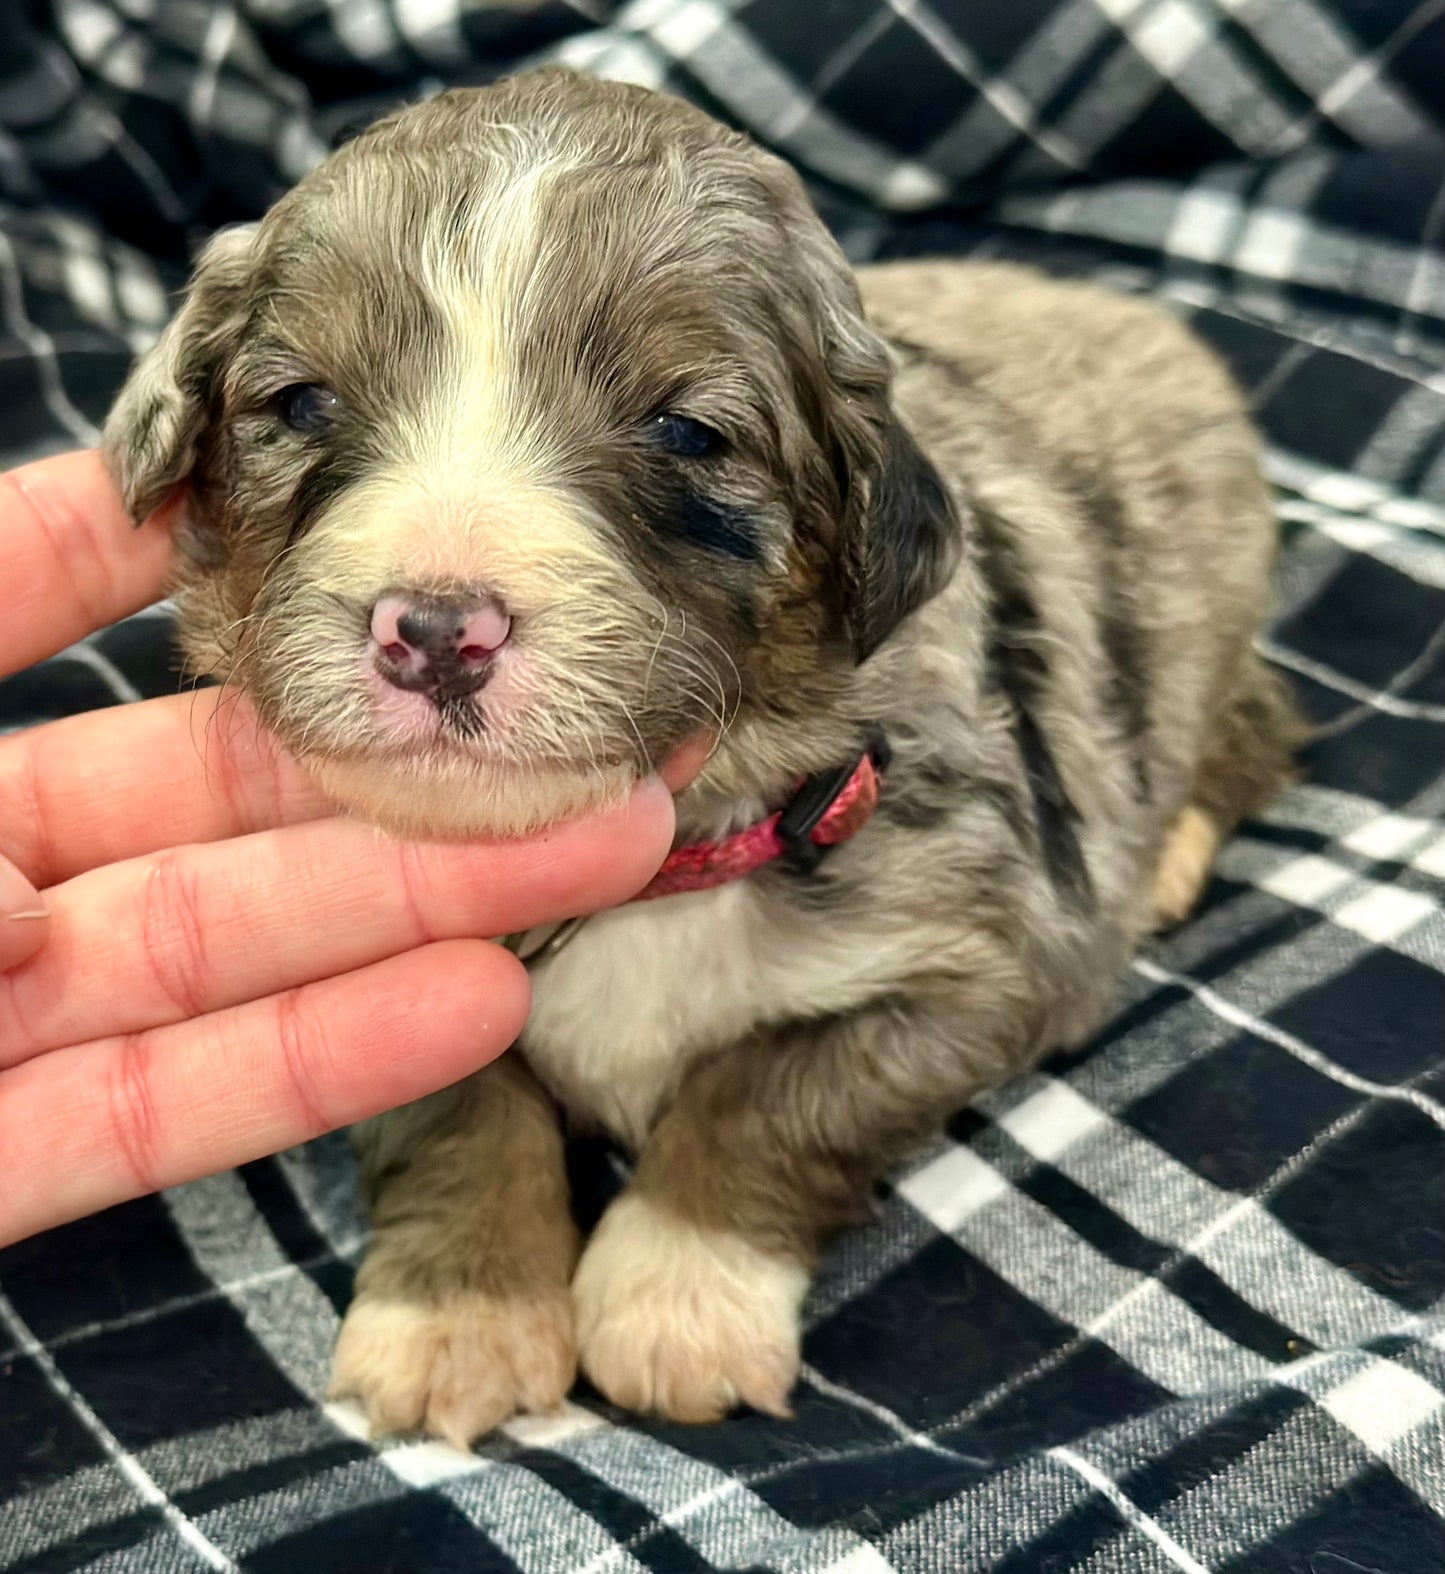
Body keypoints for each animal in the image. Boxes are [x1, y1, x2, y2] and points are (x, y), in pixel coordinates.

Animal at [101, 73, 1303, 1448]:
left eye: (685, 430)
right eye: (300, 404)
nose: (436, 631)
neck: (659, 864)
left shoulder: (979, 965)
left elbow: (771, 1096)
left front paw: (678, 1298)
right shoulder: (387, 987)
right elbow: (458, 1106)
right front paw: (456, 1311)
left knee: (1251, 720)